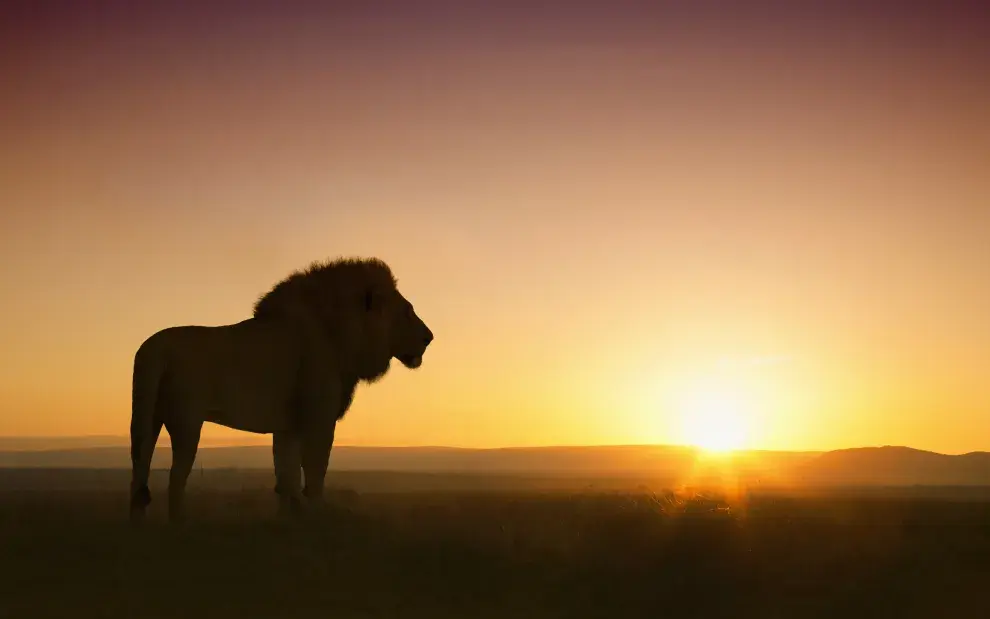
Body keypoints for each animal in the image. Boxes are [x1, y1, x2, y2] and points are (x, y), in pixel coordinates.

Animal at [128, 256, 434, 524]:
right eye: (407, 312)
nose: (429, 337)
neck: (341, 333)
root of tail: (152, 349)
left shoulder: (289, 425)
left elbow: (286, 475)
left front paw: (289, 519)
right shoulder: (318, 418)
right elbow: (315, 470)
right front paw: (317, 516)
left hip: (147, 419)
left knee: (139, 471)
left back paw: (138, 525)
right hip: (187, 422)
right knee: (175, 478)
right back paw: (179, 523)